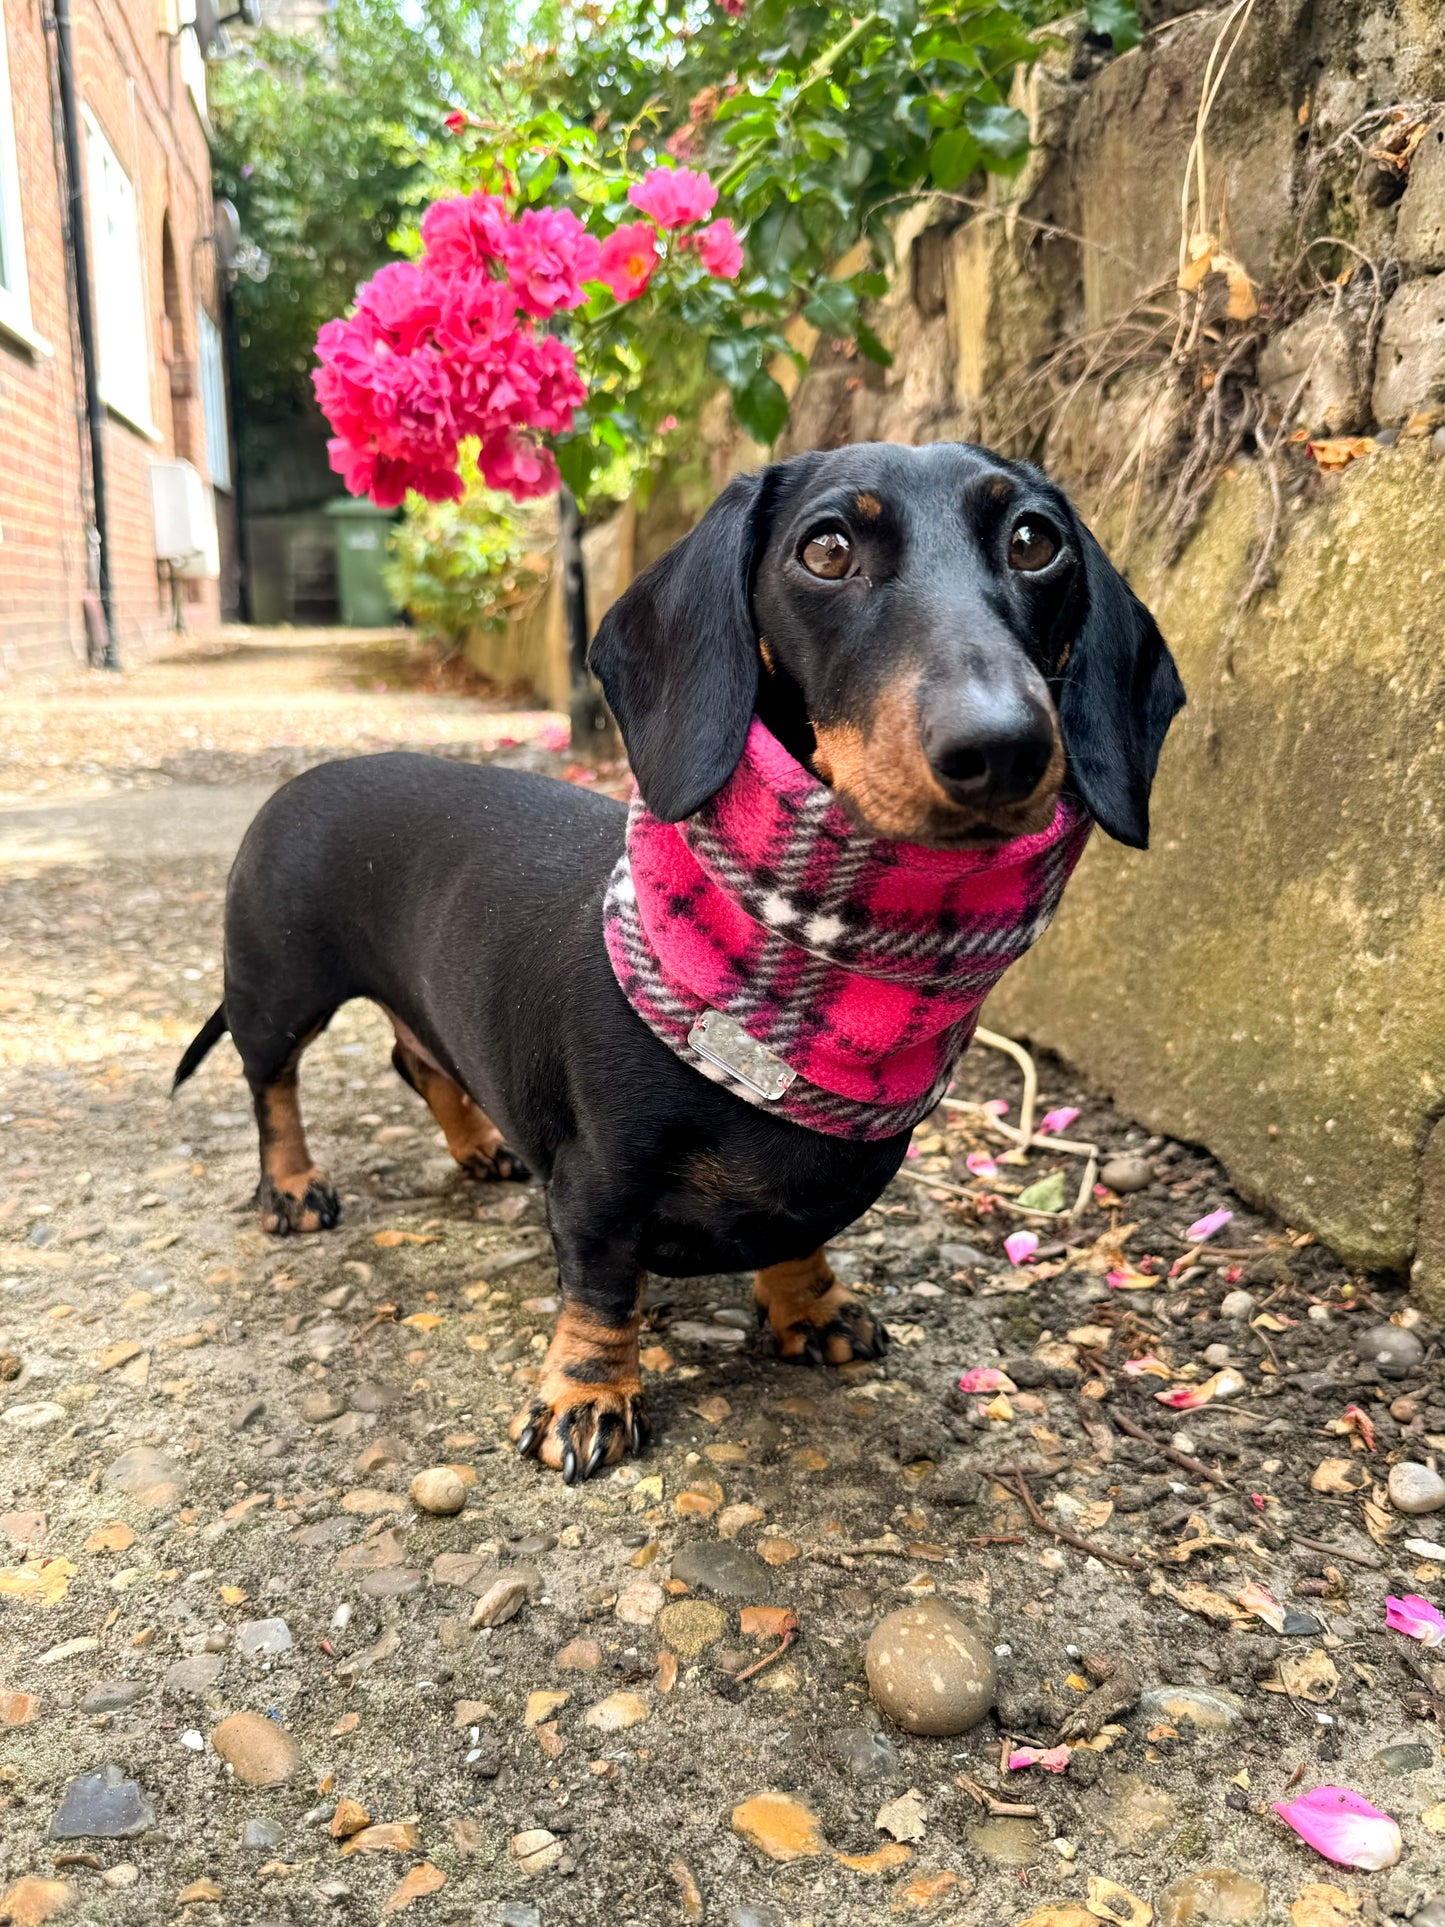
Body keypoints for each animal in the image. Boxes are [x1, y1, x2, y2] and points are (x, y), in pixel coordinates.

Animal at [175, 443, 1179, 1479]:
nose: (1004, 747)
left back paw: (478, 1143)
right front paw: (586, 1394)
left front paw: (810, 1304)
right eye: (826, 549)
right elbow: (602, 1285)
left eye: (1033, 540)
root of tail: (301, 781)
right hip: (277, 989)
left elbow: (798, 1233)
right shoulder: (596, 1186)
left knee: (415, 1058)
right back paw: (294, 1188)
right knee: (272, 1088)